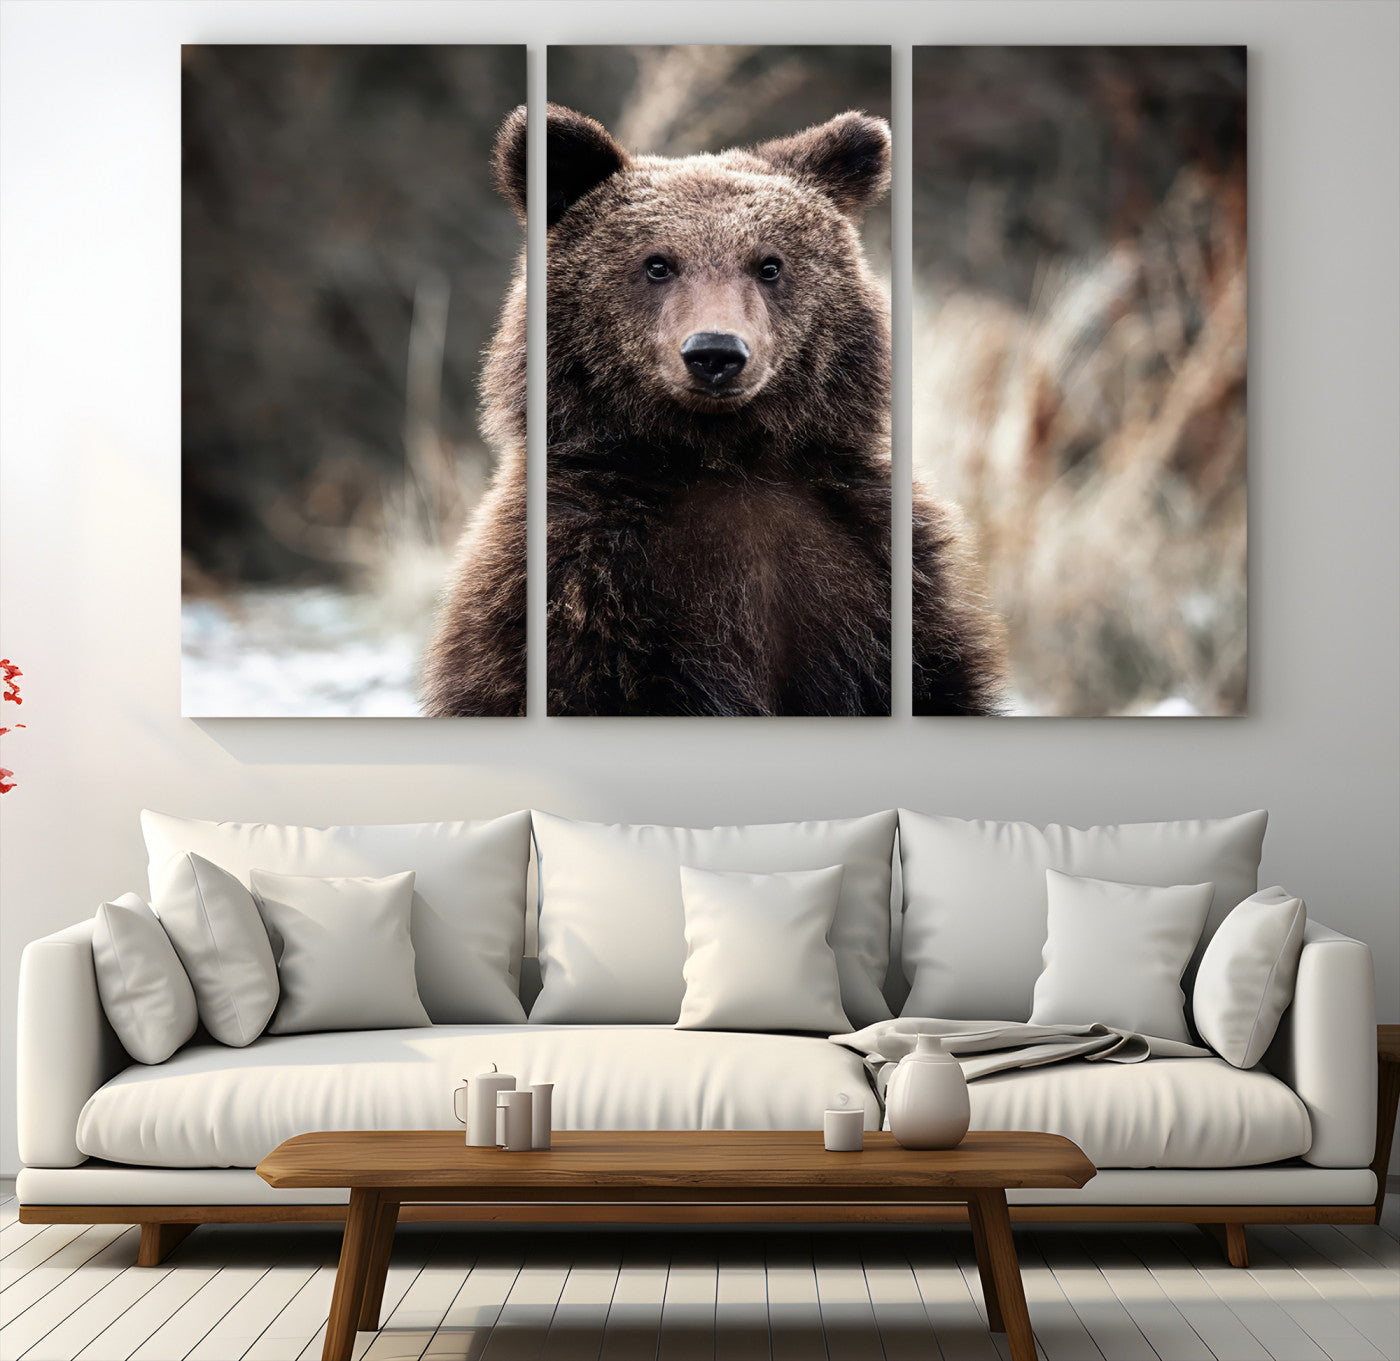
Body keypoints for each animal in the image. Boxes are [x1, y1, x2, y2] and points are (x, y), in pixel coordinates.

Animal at [422, 103, 1005, 717]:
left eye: (769, 265)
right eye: (657, 264)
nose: (715, 353)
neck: (723, 456)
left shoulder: (878, 572)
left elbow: (937, 680)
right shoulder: (579, 584)